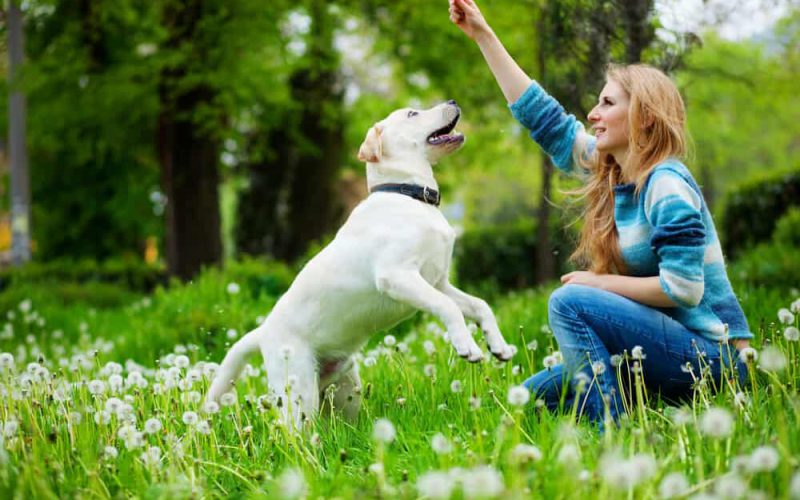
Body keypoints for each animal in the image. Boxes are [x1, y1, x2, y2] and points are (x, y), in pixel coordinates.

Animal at [206, 99, 516, 428]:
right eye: (412, 114)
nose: (452, 102)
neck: (409, 195)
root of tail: (263, 332)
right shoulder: (398, 276)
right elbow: (448, 308)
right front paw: (466, 346)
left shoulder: (438, 282)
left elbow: (479, 305)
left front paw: (498, 345)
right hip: (298, 394)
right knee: (291, 432)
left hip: (345, 391)